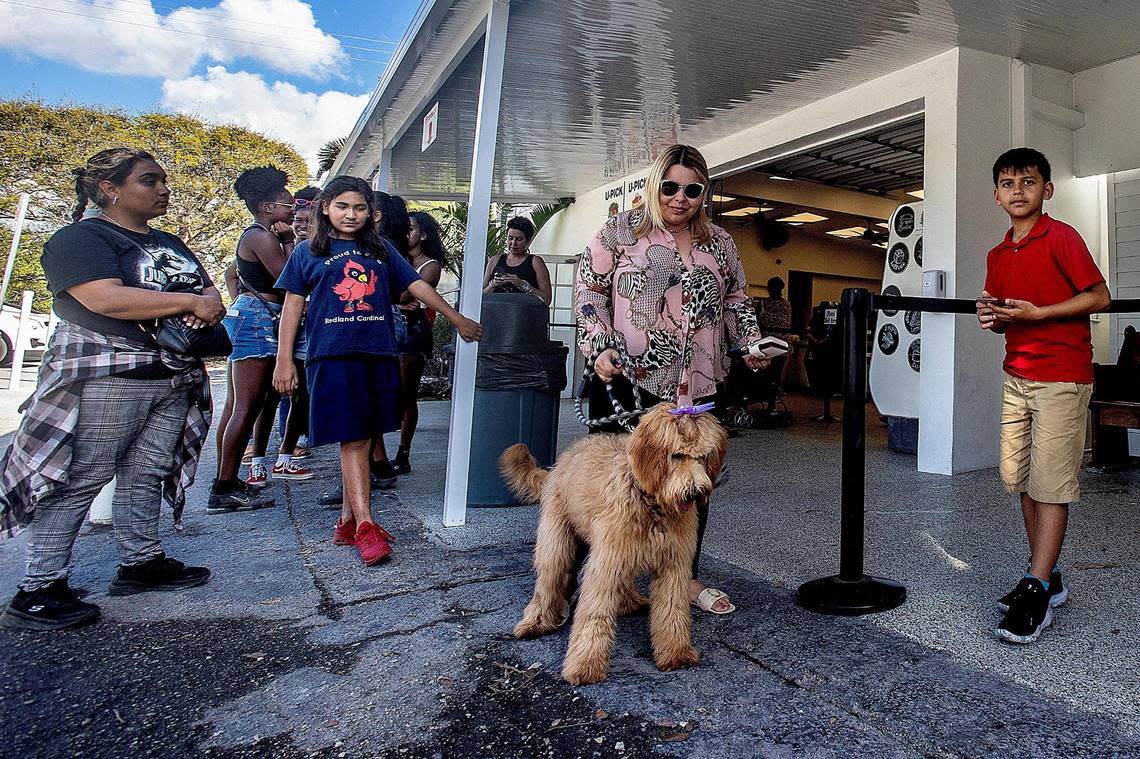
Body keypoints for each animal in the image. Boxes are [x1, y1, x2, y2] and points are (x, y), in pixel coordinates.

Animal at [501, 401, 729, 683]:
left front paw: (676, 653)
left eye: (702, 457)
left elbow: (672, 608)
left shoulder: (672, 564)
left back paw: (629, 602)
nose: (696, 492)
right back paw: (536, 621)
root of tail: (562, 461)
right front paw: (585, 665)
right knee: (549, 578)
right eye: (676, 456)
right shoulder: (606, 564)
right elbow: (594, 612)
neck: (650, 502)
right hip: (558, 539)